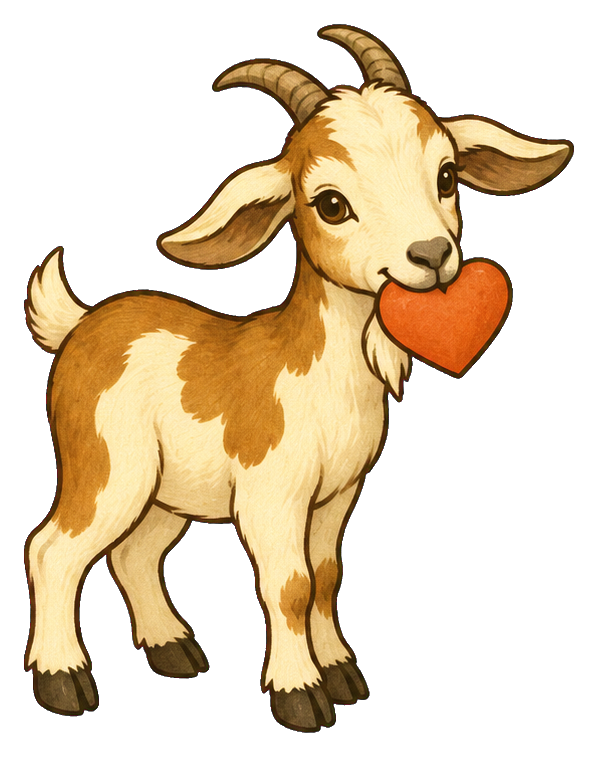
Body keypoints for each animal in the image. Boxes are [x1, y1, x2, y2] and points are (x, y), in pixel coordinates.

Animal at [24, 26, 572, 731]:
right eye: (331, 204)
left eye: (447, 175)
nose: (431, 255)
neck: (318, 377)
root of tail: (83, 325)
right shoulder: (272, 497)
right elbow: (289, 585)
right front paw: (300, 693)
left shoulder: (337, 494)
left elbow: (328, 577)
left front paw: (341, 671)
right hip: (108, 467)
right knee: (54, 548)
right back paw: (62, 680)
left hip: (166, 491)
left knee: (136, 552)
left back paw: (173, 648)